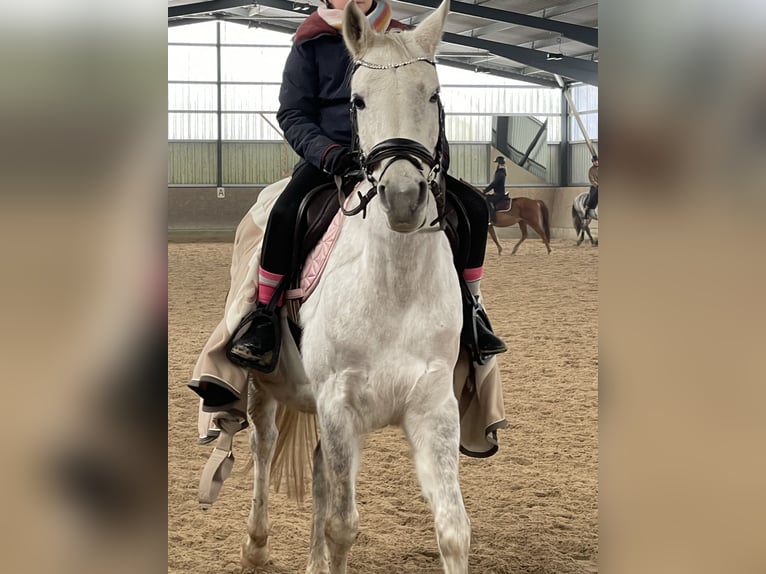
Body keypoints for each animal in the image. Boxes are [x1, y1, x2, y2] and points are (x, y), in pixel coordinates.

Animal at [239, 3, 471, 573]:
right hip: (265, 386)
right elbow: (342, 525)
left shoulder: (433, 408)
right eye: (358, 98)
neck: (394, 286)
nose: (404, 197)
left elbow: (453, 530)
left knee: (320, 472)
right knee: (263, 445)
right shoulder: (339, 406)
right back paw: (256, 545)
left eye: (433, 94)